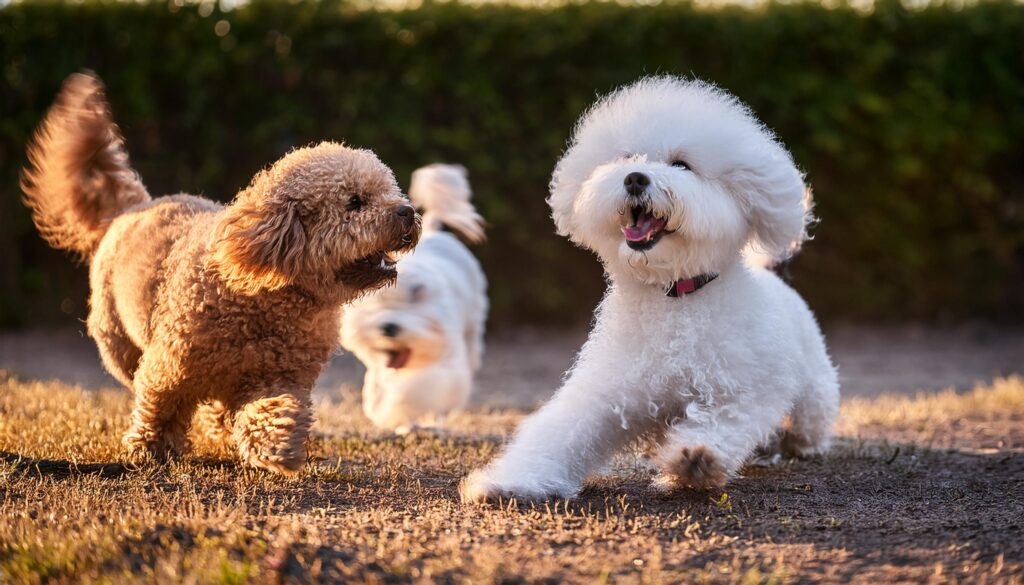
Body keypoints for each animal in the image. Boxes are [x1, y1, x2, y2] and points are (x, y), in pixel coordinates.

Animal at [23, 74, 419, 475]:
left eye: (388, 190)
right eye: (355, 202)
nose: (408, 211)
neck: (269, 296)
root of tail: (136, 205)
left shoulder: (279, 376)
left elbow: (273, 411)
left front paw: (279, 448)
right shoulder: (169, 365)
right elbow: (159, 404)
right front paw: (149, 448)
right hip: (118, 344)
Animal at [339, 162, 487, 432]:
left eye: (409, 307)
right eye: (375, 309)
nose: (388, 327)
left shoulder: (445, 362)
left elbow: (418, 389)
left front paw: (399, 409)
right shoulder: (380, 366)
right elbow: (378, 386)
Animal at [460, 75, 835, 502]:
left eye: (682, 164)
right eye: (627, 157)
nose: (636, 177)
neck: (670, 294)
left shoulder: (746, 387)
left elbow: (726, 418)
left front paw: (696, 457)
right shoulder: (607, 389)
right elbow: (559, 431)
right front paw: (509, 479)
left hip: (814, 391)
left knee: (809, 422)